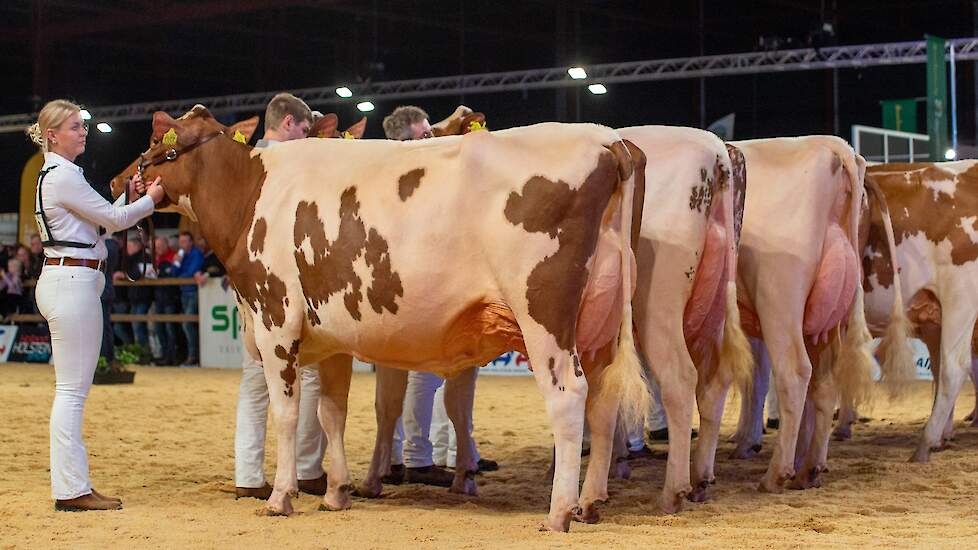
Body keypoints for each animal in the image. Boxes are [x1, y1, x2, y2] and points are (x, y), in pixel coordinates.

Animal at [108, 105, 648, 532]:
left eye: (156, 140)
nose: (116, 180)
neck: (253, 193)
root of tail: (607, 139)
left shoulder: (276, 320)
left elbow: (287, 414)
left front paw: (282, 497)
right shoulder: (331, 337)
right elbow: (332, 413)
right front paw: (336, 493)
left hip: (544, 316)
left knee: (569, 397)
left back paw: (558, 513)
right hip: (600, 323)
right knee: (603, 402)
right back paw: (588, 504)